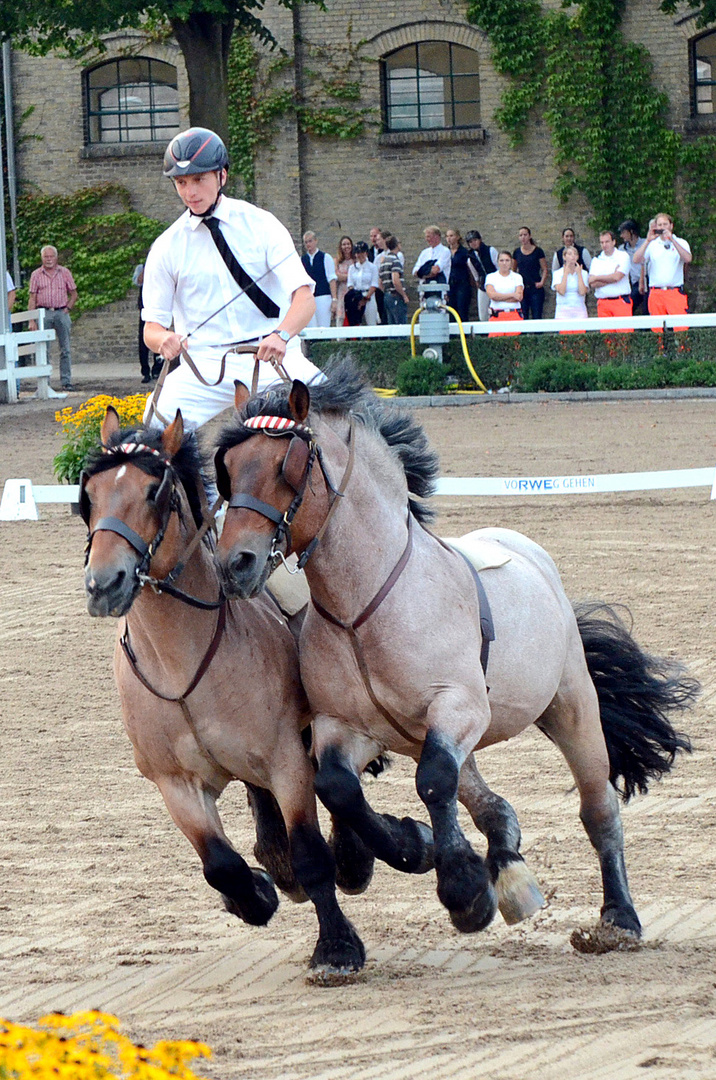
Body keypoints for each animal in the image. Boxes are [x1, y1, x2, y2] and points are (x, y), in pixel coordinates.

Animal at [80, 406, 367, 980]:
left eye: (154, 491)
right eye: (90, 495)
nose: (104, 584)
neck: (181, 665)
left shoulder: (286, 761)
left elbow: (311, 853)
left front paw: (337, 947)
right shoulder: (173, 783)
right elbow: (219, 864)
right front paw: (254, 894)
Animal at [212, 360, 695, 946]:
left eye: (288, 464)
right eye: (227, 468)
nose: (234, 563)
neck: (362, 609)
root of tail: (531, 554)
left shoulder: (458, 708)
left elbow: (433, 780)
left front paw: (463, 889)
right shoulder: (344, 726)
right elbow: (338, 787)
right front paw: (404, 847)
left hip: (572, 708)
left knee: (597, 809)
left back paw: (617, 917)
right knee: (492, 805)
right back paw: (508, 870)